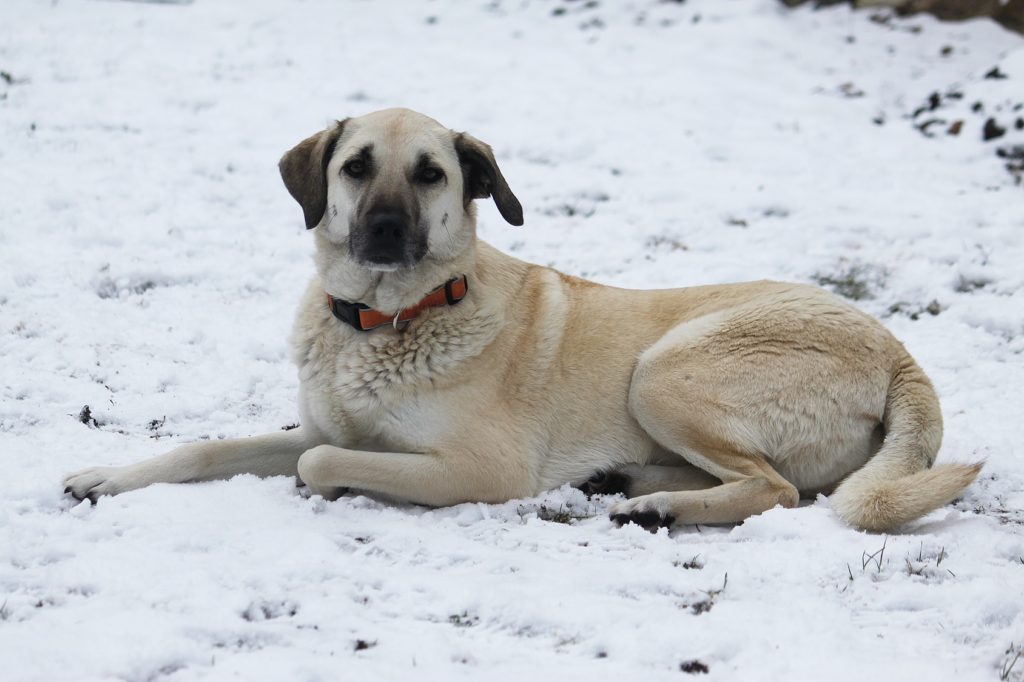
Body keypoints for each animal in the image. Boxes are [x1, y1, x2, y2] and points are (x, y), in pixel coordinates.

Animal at [61, 107, 974, 532]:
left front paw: (330, 484)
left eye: (431, 174)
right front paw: (105, 477)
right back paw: (630, 485)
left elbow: (319, 462)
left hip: (665, 368)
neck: (387, 320)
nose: (384, 230)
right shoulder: (324, 421)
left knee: (778, 488)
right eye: (356, 167)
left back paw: (655, 508)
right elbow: (210, 448)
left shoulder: (479, 468)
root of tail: (900, 355)